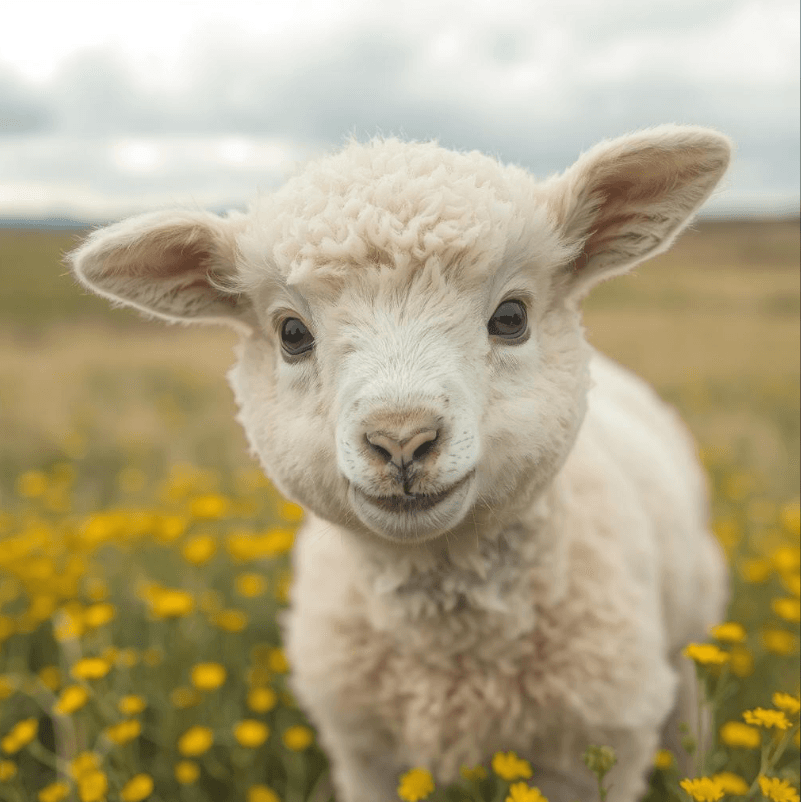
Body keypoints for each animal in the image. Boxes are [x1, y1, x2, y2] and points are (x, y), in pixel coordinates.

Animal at [69, 125, 732, 802]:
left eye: (512, 317)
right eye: (291, 333)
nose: (402, 440)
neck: (446, 651)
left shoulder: (595, 753)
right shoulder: (365, 755)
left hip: (692, 635)